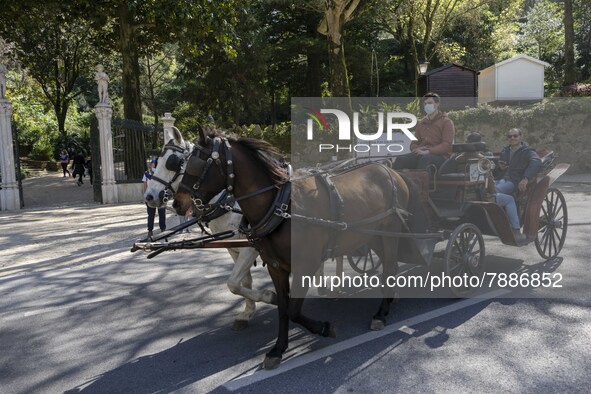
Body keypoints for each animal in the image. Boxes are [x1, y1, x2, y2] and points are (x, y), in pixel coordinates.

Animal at [145, 126, 276, 330]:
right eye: (156, 161)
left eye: (172, 163)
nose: (149, 197)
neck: (228, 202)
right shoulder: (233, 248)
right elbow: (242, 281)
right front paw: (248, 312)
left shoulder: (250, 247)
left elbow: (233, 283)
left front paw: (268, 296)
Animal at [172, 127, 412, 370]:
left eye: (197, 163)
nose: (177, 203)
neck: (281, 205)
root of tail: (388, 169)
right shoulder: (276, 267)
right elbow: (283, 308)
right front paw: (278, 349)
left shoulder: (305, 264)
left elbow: (294, 310)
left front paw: (324, 328)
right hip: (372, 236)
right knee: (388, 264)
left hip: (390, 232)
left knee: (390, 266)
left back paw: (381, 313)